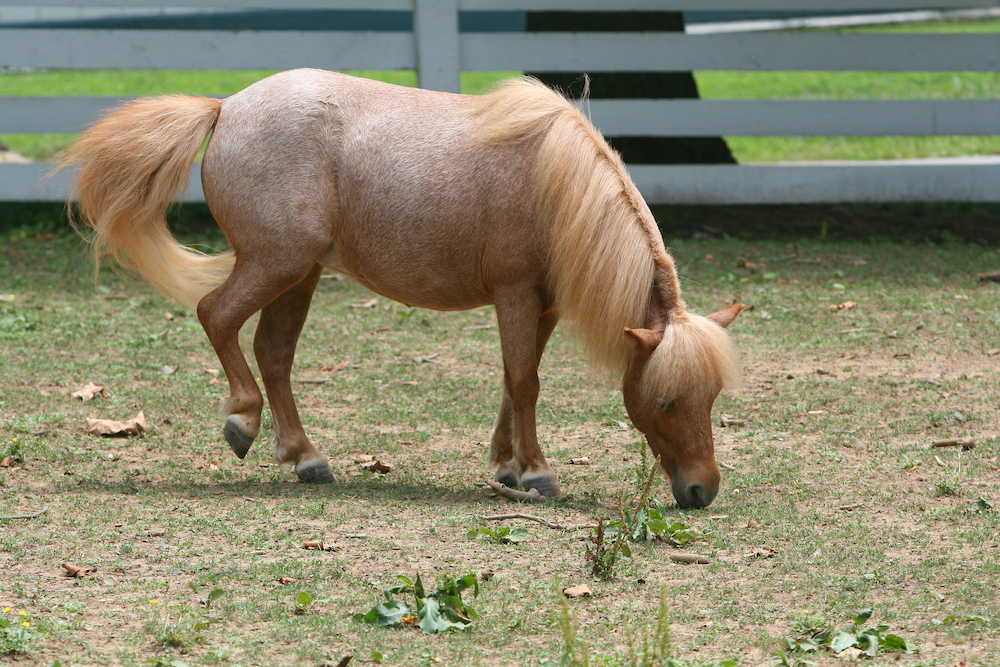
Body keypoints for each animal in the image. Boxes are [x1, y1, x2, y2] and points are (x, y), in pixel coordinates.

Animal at [58, 68, 740, 508]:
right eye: (666, 401)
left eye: (711, 398)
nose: (701, 490)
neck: (555, 186)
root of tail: (226, 107)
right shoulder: (516, 295)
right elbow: (525, 381)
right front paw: (538, 474)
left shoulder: (540, 305)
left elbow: (512, 378)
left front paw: (508, 465)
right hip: (276, 264)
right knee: (217, 316)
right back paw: (243, 422)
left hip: (299, 275)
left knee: (273, 354)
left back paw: (306, 457)